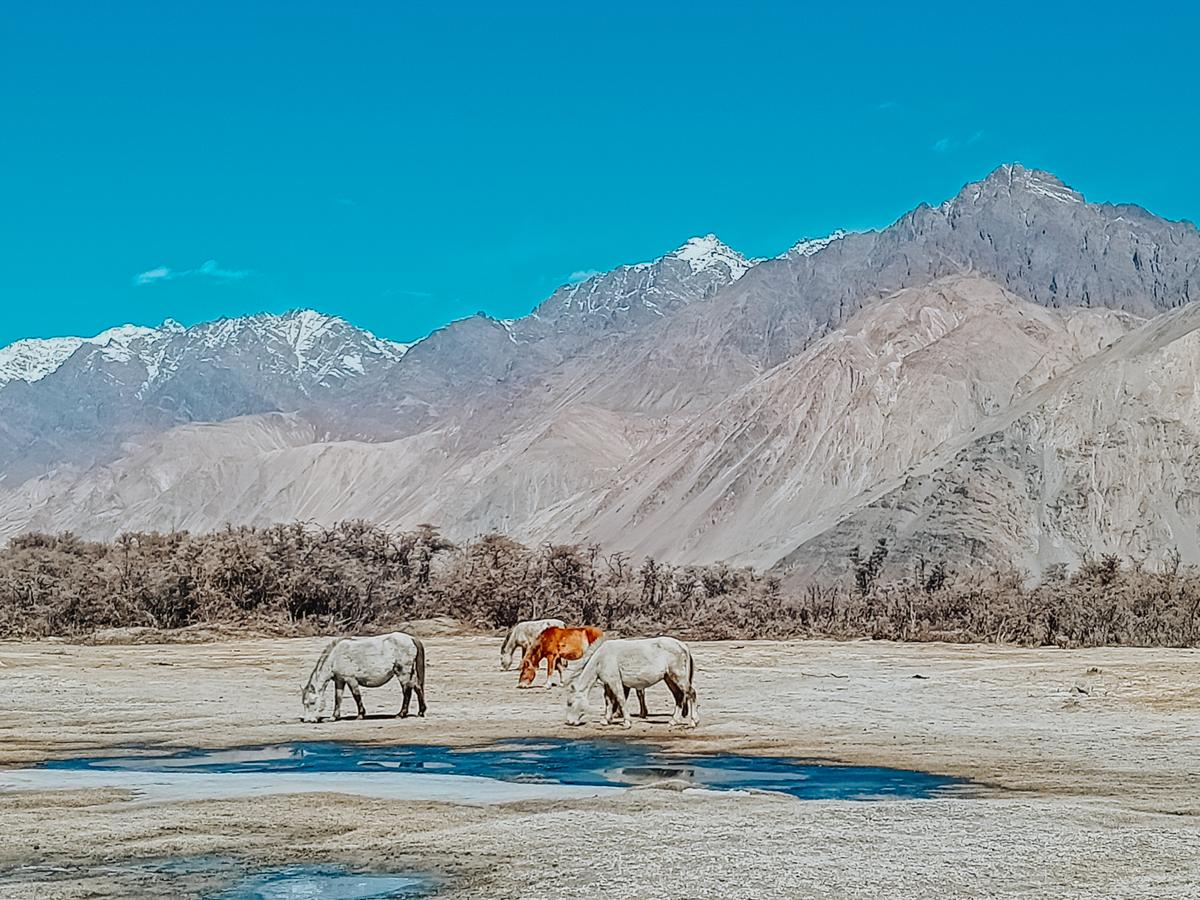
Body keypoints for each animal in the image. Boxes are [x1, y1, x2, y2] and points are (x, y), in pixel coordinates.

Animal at [566, 638, 700, 729]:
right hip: (669, 679)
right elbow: (608, 701)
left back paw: (693, 722)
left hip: (678, 677)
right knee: (679, 697)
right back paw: (673, 721)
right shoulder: (608, 684)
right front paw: (606, 720)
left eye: (570, 703)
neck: (601, 659)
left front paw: (627, 722)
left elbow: (620, 699)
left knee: (691, 693)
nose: (569, 722)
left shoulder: (614, 682)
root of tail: (682, 645)